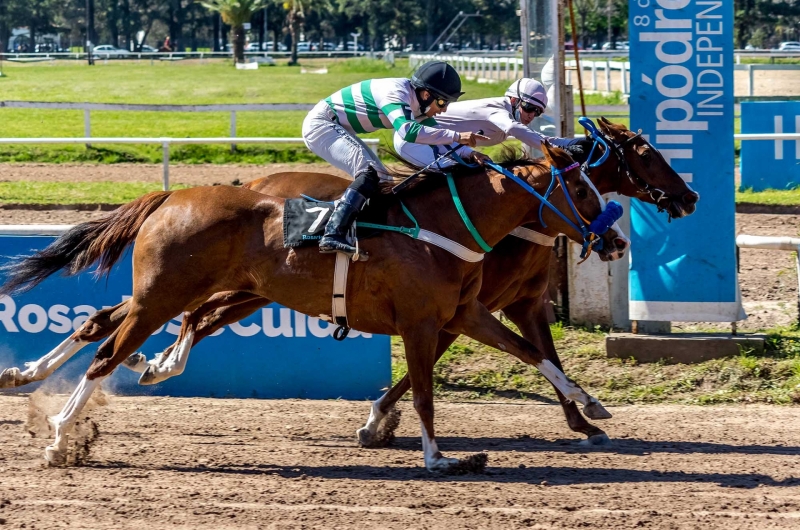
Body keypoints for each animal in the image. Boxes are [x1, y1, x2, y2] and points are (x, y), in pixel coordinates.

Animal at [0, 142, 624, 468]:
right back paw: (61, 433)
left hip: (189, 292)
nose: (617, 241)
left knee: (108, 326)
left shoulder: (464, 313)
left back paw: (40, 380)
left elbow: (533, 354)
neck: (442, 226)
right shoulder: (420, 322)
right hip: (165, 295)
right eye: (582, 190)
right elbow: (424, 393)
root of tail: (172, 195)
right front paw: (436, 458)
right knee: (107, 351)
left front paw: (591, 405)